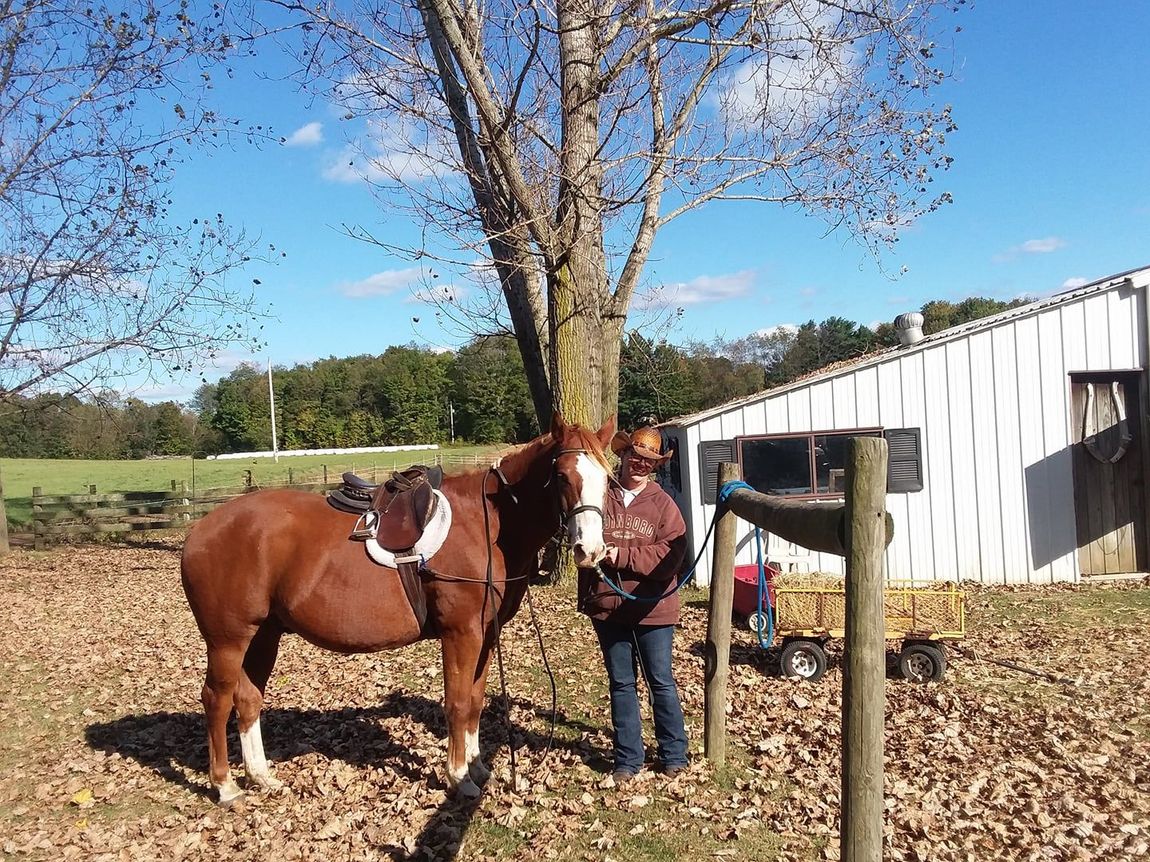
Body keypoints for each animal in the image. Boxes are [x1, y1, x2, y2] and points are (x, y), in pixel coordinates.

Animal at [180, 413, 615, 805]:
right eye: (562, 476)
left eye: (607, 479)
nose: (590, 550)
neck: (488, 523)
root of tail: (199, 529)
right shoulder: (461, 633)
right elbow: (458, 703)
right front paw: (459, 778)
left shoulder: (486, 634)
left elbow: (475, 701)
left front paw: (478, 768)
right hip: (228, 640)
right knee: (217, 699)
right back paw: (225, 786)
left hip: (263, 635)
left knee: (248, 699)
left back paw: (261, 776)